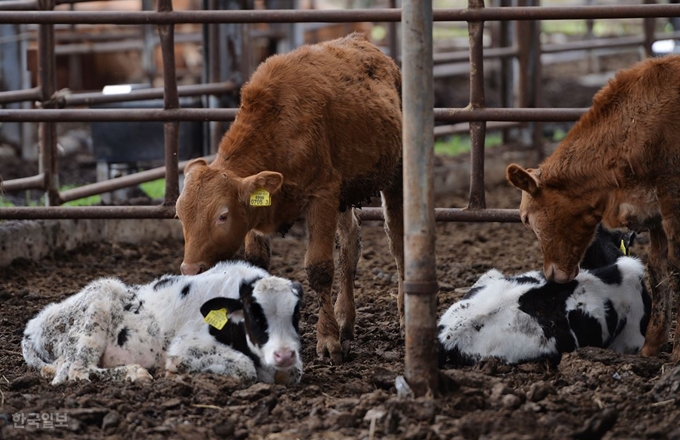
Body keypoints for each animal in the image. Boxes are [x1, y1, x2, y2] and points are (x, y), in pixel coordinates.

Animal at [21, 262, 302, 384]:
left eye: (296, 315)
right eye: (255, 315)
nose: (284, 354)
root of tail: (33, 325)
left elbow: (295, 372)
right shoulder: (184, 347)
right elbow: (246, 367)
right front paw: (171, 372)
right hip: (97, 307)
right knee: (76, 371)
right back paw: (136, 374)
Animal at [175, 33, 404, 364]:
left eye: (222, 215)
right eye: (179, 214)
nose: (190, 270)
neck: (279, 125)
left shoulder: (323, 195)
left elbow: (319, 268)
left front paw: (327, 341)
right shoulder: (260, 211)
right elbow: (257, 265)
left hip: (395, 173)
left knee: (398, 243)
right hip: (345, 195)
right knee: (350, 245)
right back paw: (345, 319)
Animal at [508, 54, 680, 360]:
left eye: (526, 218)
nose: (551, 274)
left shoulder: (672, 198)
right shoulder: (655, 212)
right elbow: (659, 267)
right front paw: (652, 345)